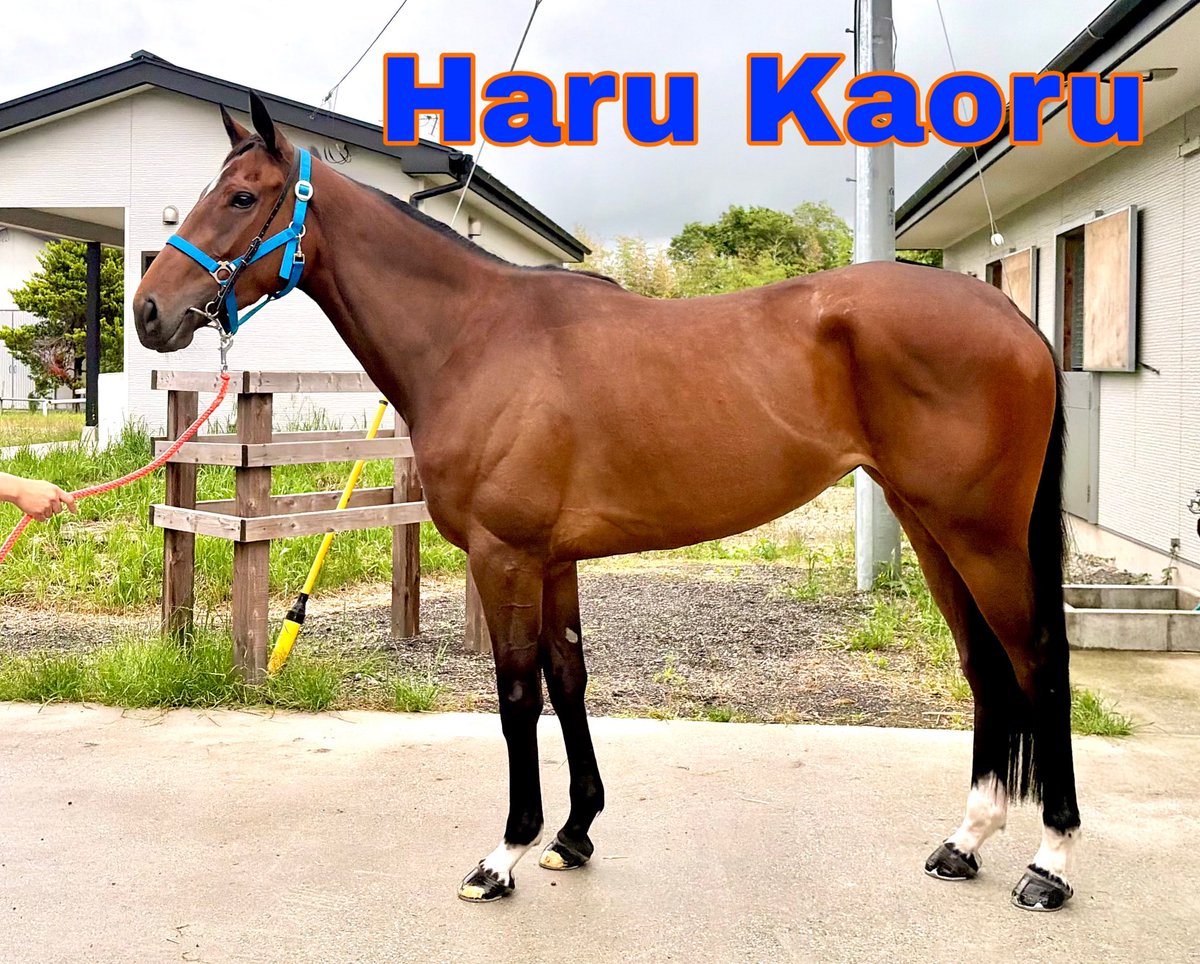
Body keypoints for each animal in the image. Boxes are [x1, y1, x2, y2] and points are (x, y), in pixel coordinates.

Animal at [134, 92, 1079, 912]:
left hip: (981, 533)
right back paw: (965, 842)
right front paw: (575, 833)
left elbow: (517, 694)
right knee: (985, 665)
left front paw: (504, 853)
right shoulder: (553, 559)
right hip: (931, 527)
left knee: (1037, 660)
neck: (475, 339)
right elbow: (569, 677)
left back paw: (1049, 863)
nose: (149, 311)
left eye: (241, 196)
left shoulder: (505, 555)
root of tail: (1013, 319)